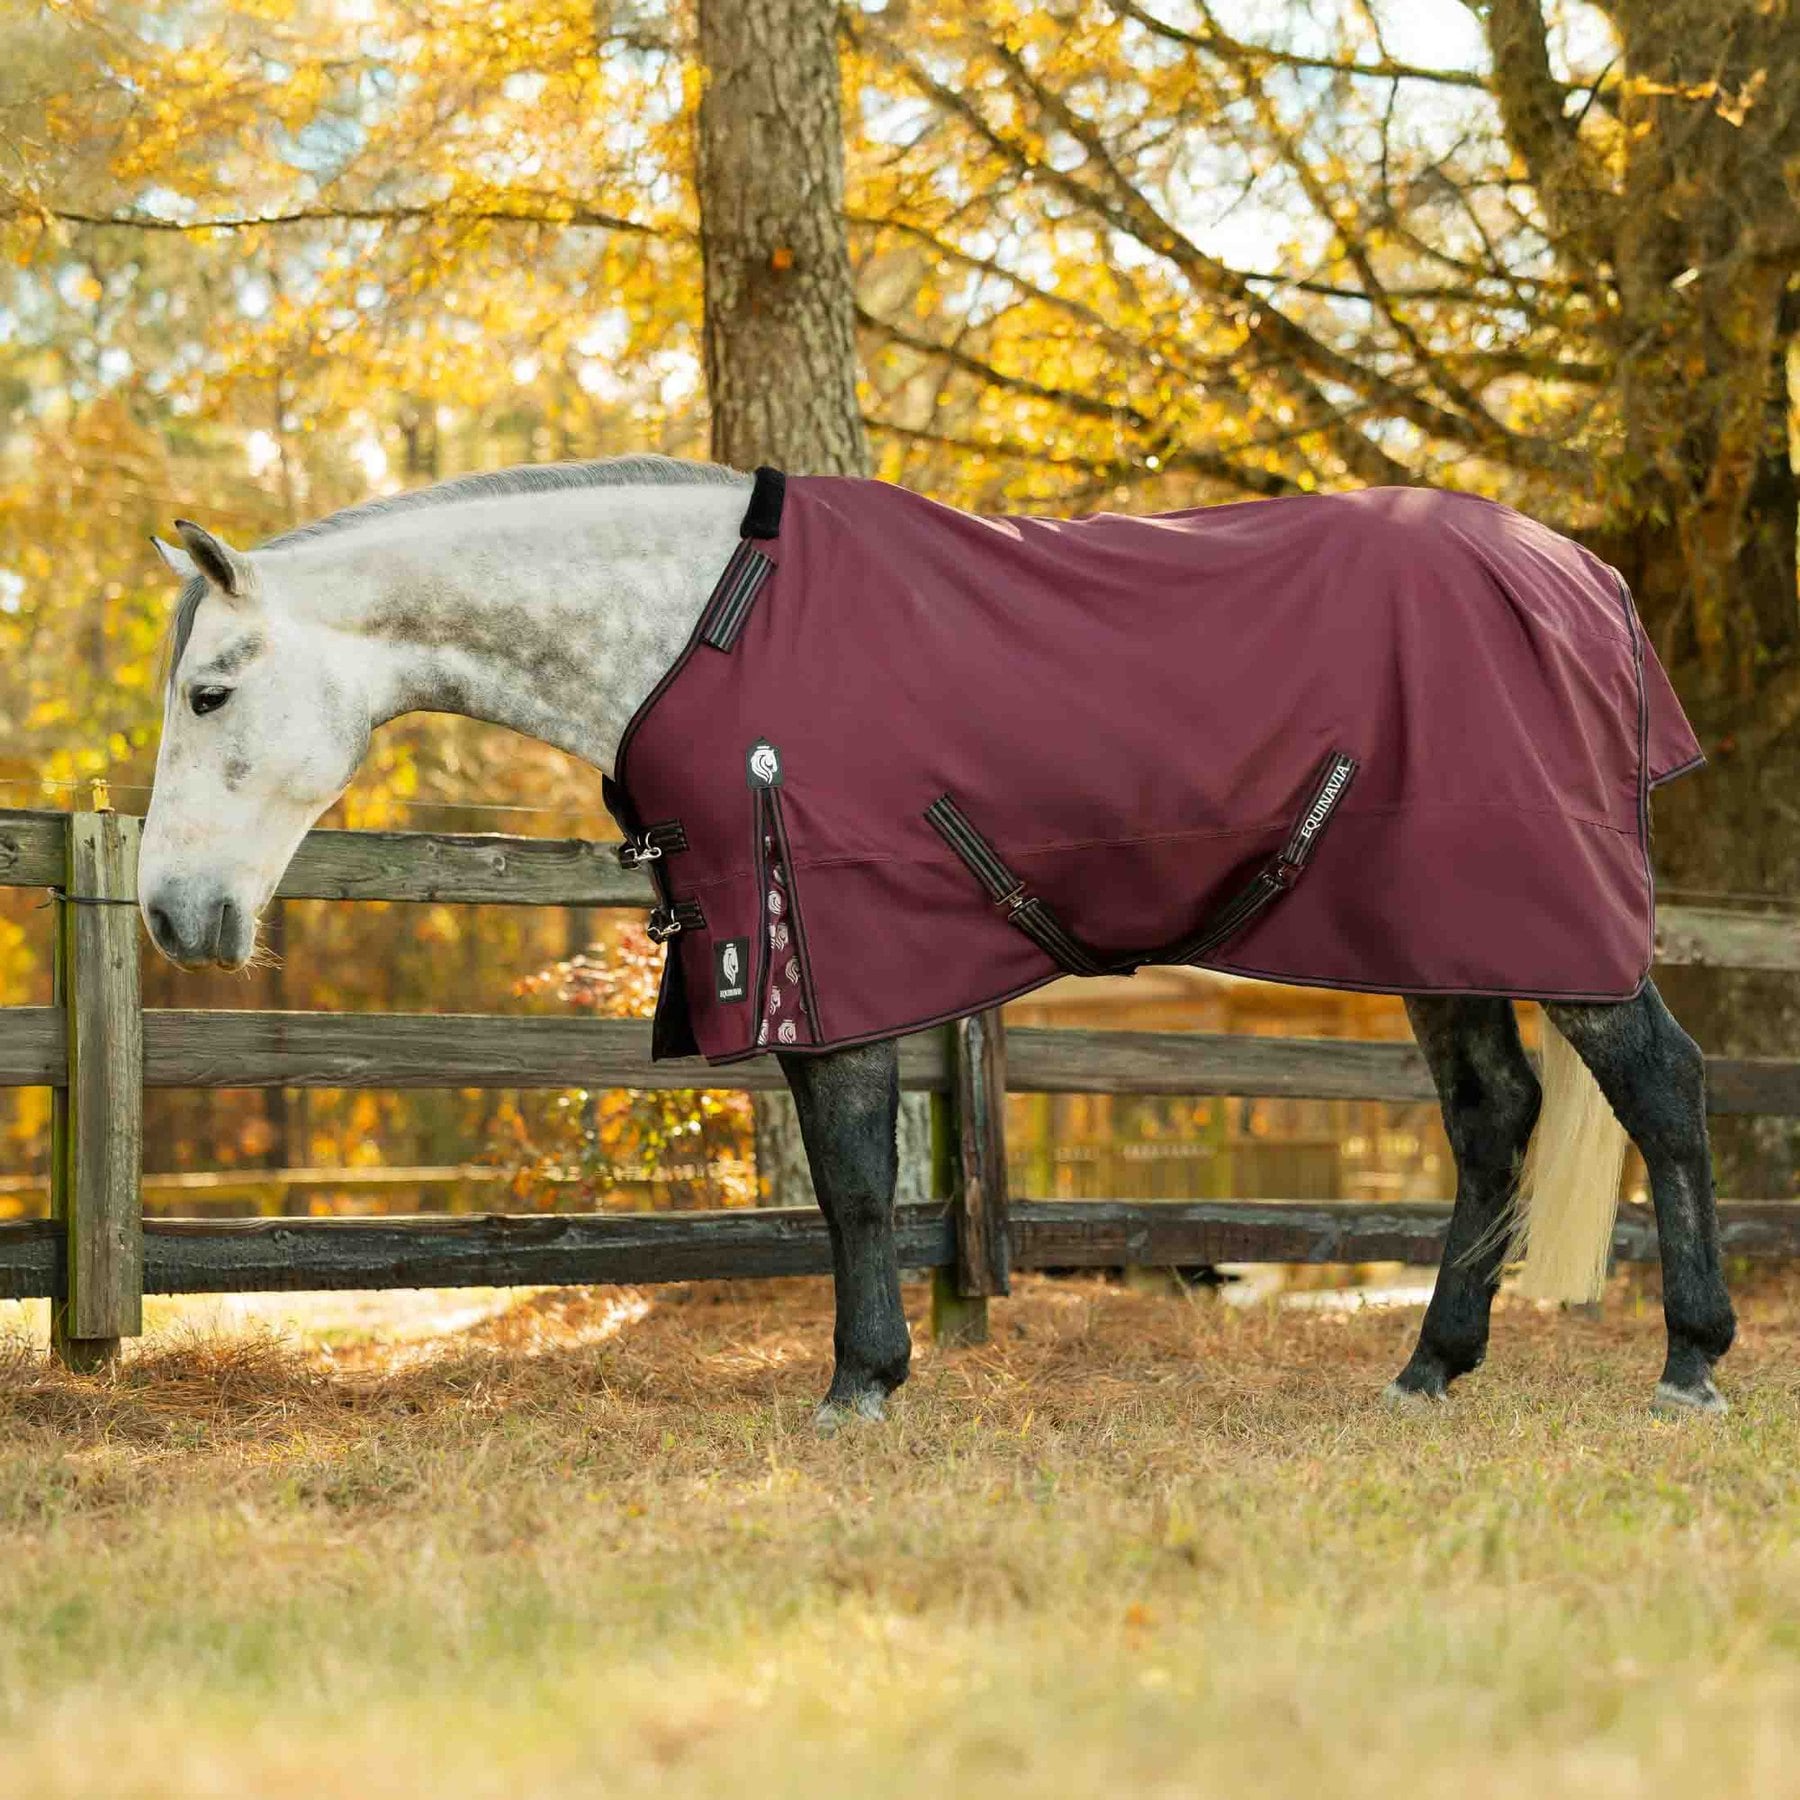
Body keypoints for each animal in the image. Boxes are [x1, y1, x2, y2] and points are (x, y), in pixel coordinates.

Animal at [139, 456, 1736, 1424]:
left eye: (210, 693)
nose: (168, 913)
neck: (702, 626)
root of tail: (1580, 579)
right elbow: (849, 1179)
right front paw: (872, 1374)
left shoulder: (818, 940)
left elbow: (853, 1178)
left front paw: (860, 1386)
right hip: (1438, 934)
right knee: (1494, 1118)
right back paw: (1430, 1369)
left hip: (1548, 921)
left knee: (1660, 1091)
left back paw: (1692, 1361)